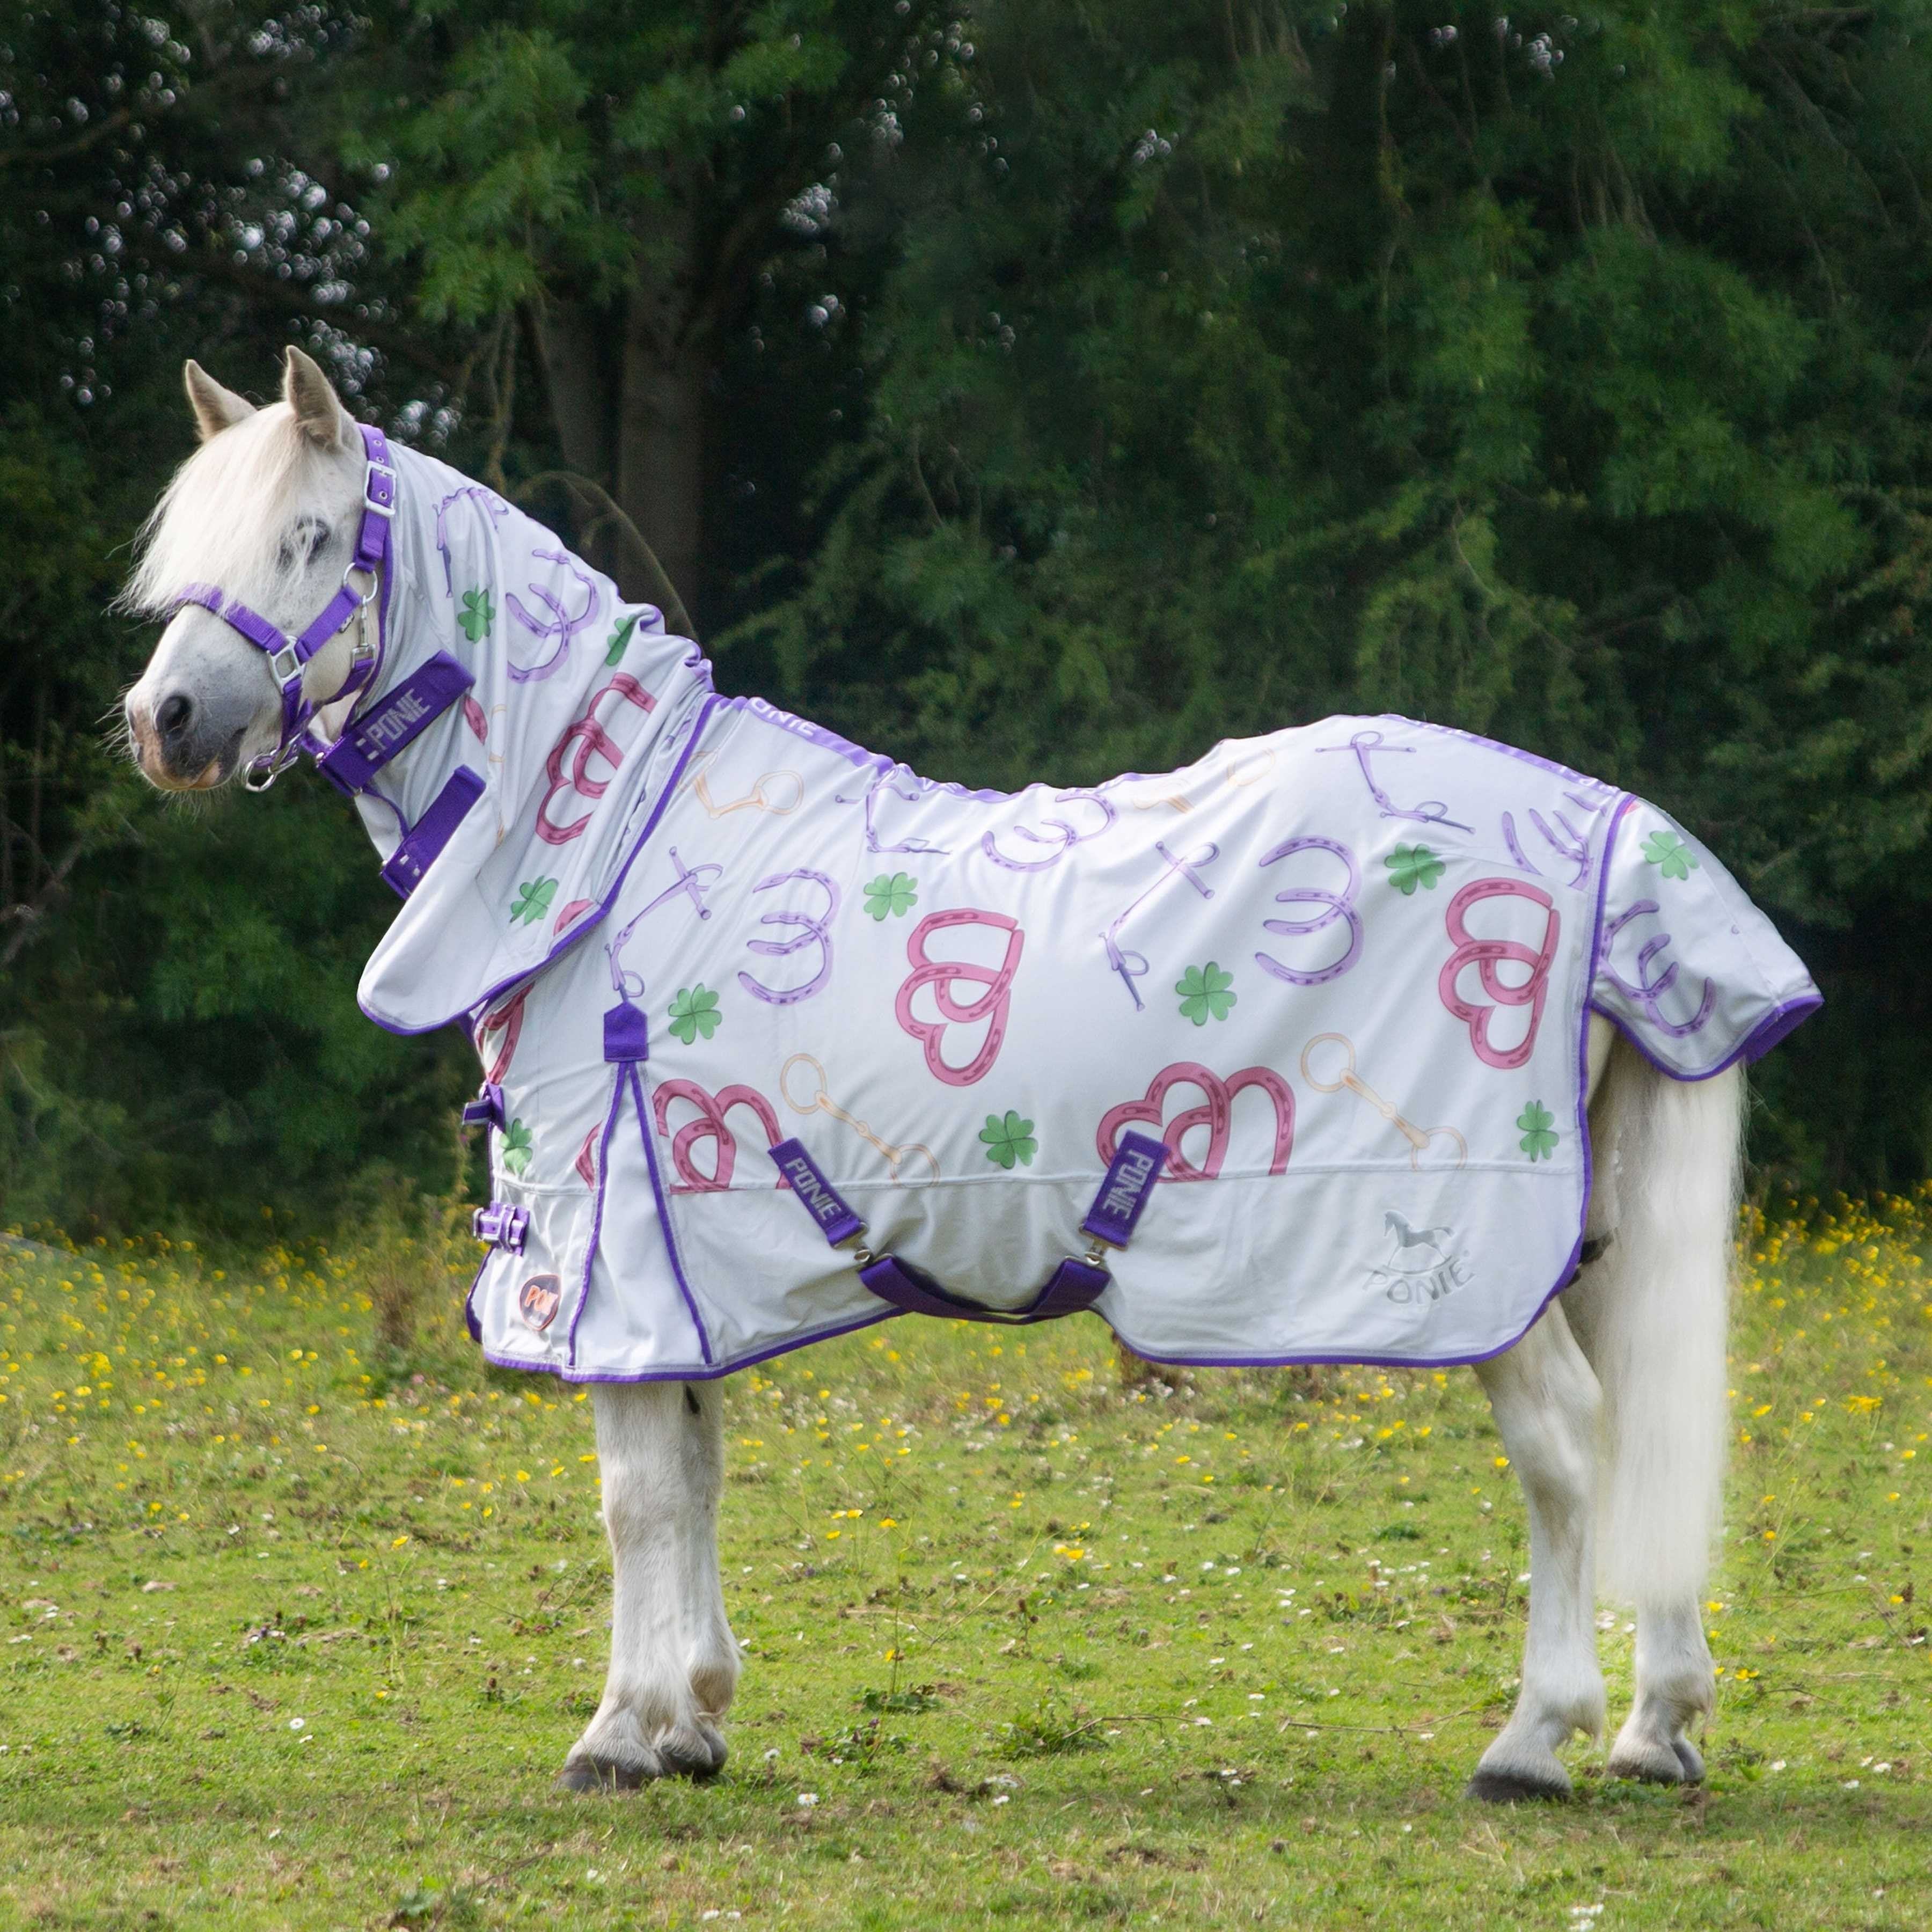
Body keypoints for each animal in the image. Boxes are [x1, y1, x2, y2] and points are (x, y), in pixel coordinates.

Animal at [119, 346, 1817, 1803]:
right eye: (189, 550)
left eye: (309, 538)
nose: (165, 719)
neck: (599, 843)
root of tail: (1609, 835)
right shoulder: (679, 1264)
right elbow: (695, 1471)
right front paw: (693, 1721)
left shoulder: (611, 1251)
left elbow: (637, 1495)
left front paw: (620, 1731)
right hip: (1588, 1236)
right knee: (1646, 1427)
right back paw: (1658, 1730)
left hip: (1478, 1257)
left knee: (1571, 1449)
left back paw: (1536, 1739)